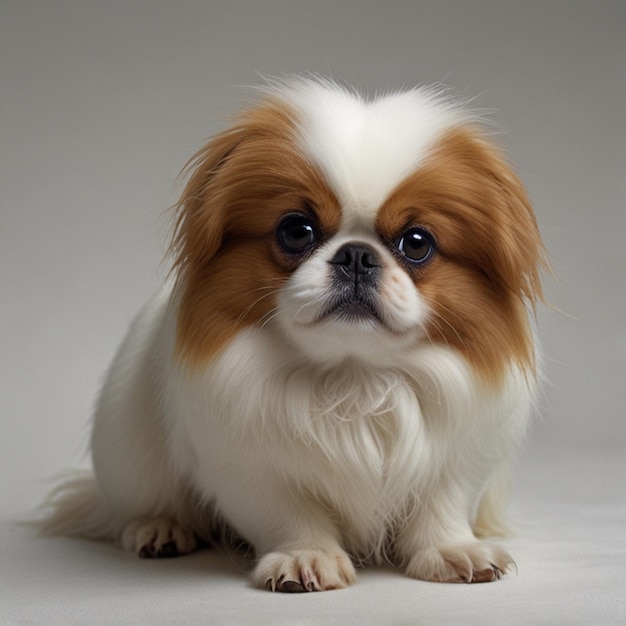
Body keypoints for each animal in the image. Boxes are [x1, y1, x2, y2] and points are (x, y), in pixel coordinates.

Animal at [44, 78, 544, 588]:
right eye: (297, 230)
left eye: (418, 242)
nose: (357, 255)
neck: (355, 378)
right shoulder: (250, 469)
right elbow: (290, 513)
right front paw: (305, 558)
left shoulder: (457, 462)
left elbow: (440, 507)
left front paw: (452, 552)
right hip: (131, 462)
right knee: (136, 508)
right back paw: (159, 527)